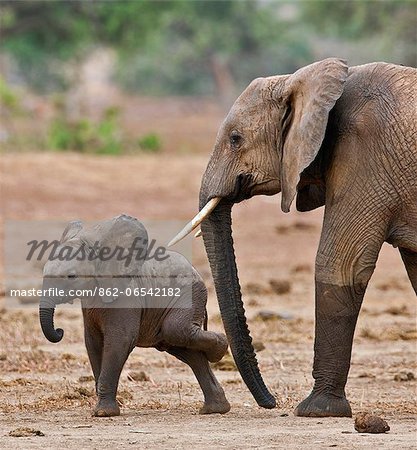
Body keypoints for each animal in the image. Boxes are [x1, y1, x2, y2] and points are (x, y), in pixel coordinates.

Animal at [39, 216, 229, 416]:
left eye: (71, 276)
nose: (60, 331)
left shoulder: (127, 296)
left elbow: (119, 340)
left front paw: (103, 413)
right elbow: (93, 342)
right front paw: (102, 409)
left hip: (189, 295)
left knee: (176, 331)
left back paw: (220, 350)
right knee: (186, 349)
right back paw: (215, 408)